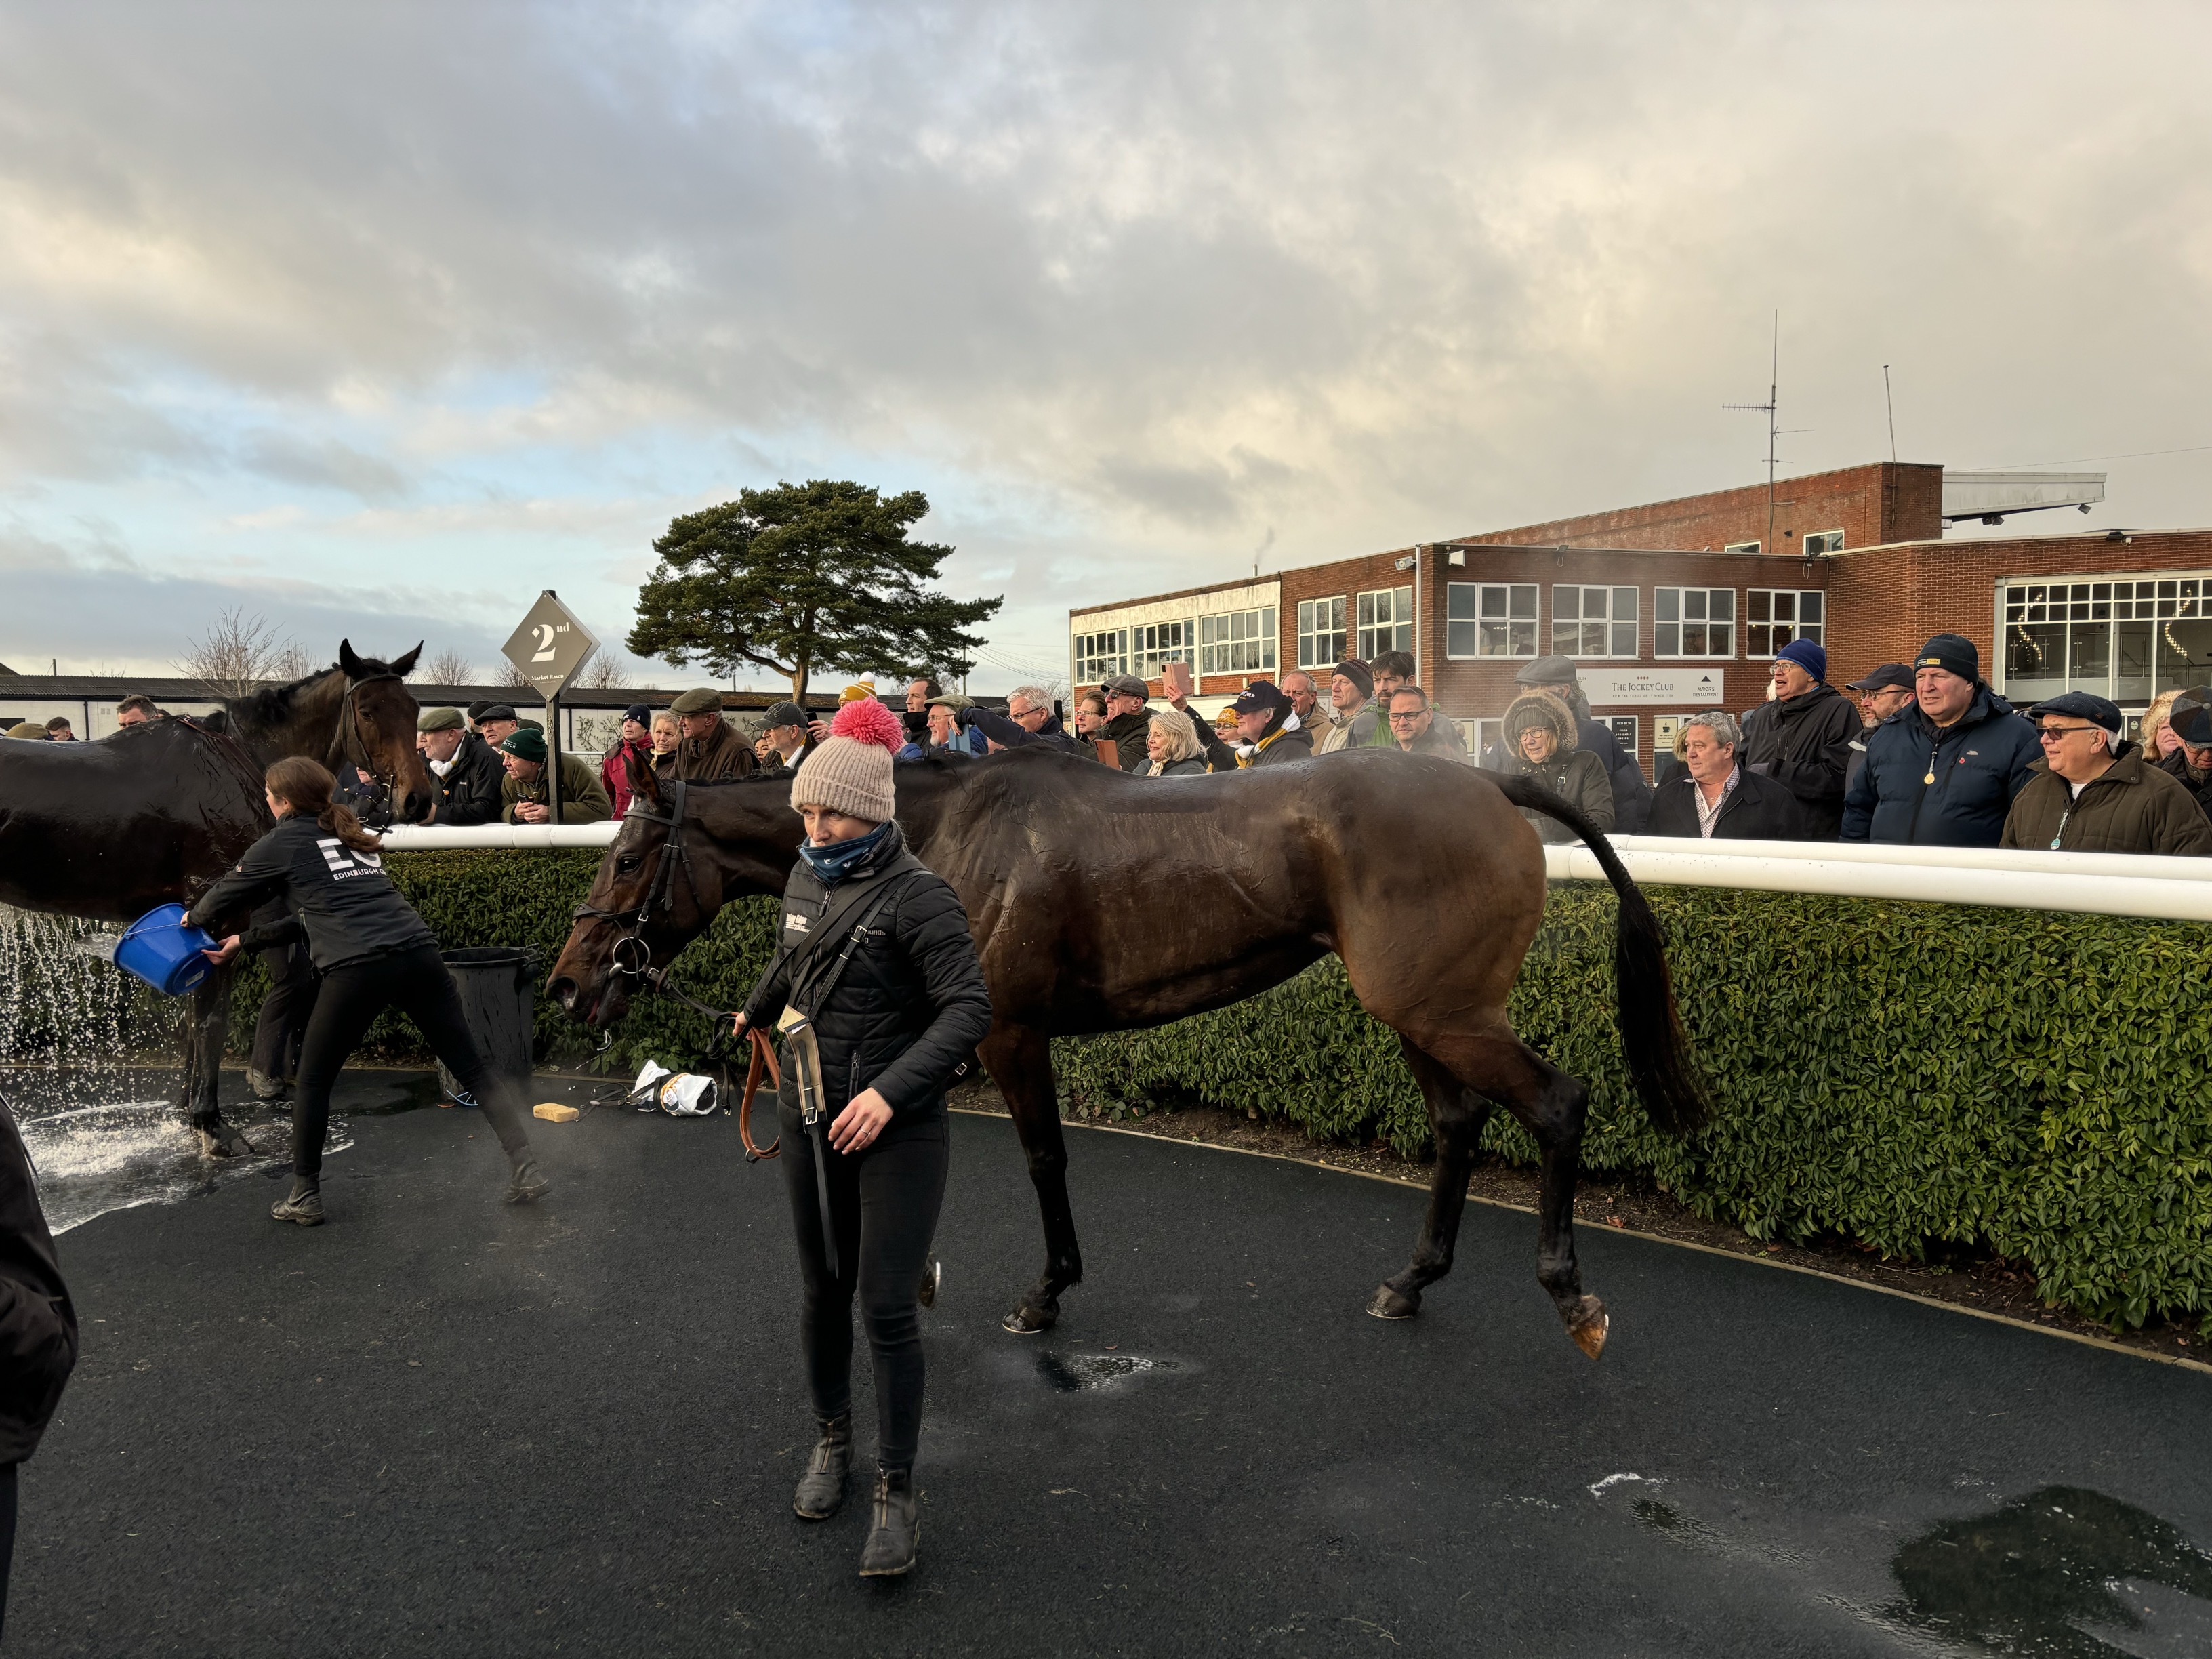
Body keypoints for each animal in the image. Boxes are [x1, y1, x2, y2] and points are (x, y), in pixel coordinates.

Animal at [0, 641, 436, 1150]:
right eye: (367, 711)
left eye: (413, 709)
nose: (418, 800)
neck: (240, 762)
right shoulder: (213, 913)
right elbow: (211, 1023)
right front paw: (210, 1122)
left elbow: (192, 1023)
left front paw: (184, 1110)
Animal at [544, 752, 1698, 1362]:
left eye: (629, 856)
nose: (568, 981)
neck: (946, 836)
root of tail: (1497, 783)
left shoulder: (1006, 1030)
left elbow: (1043, 1159)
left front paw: (1045, 1293)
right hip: (1421, 1011)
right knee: (1459, 1126)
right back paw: (1409, 1282)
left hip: (1445, 1009)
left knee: (1559, 1104)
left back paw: (1571, 1295)